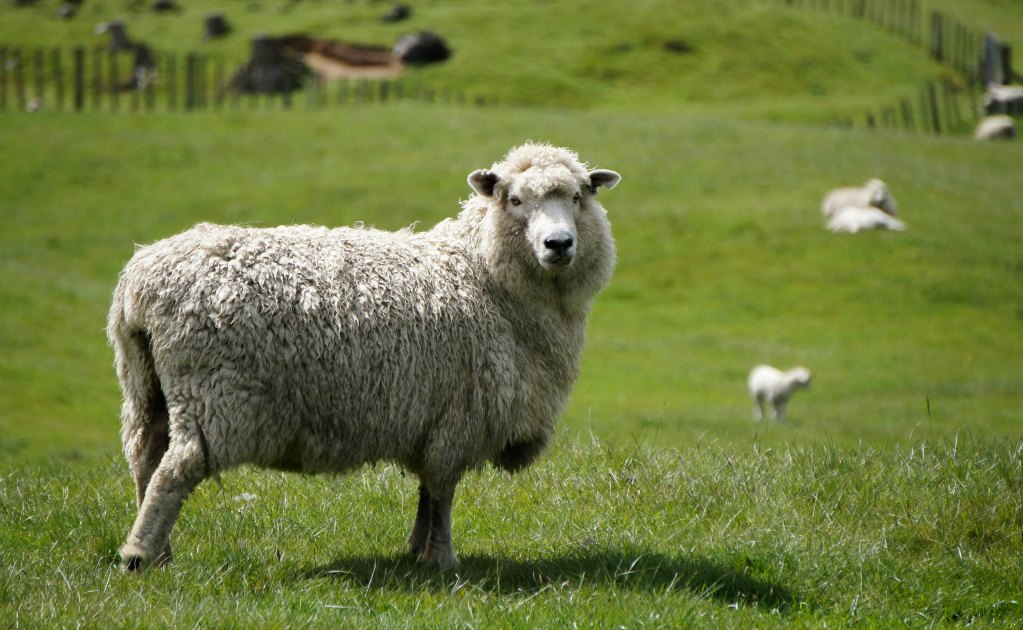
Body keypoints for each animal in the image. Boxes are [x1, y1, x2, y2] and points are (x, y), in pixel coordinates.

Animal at [109, 143, 621, 572]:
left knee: (145, 458)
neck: (482, 274)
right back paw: (140, 555)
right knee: (175, 468)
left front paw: (416, 550)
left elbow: (426, 491)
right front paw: (443, 559)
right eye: (514, 200)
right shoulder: (460, 415)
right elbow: (443, 491)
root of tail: (141, 284)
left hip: (145, 385)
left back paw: (158, 551)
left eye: (579, 196)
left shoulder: (428, 417)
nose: (559, 244)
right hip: (214, 395)